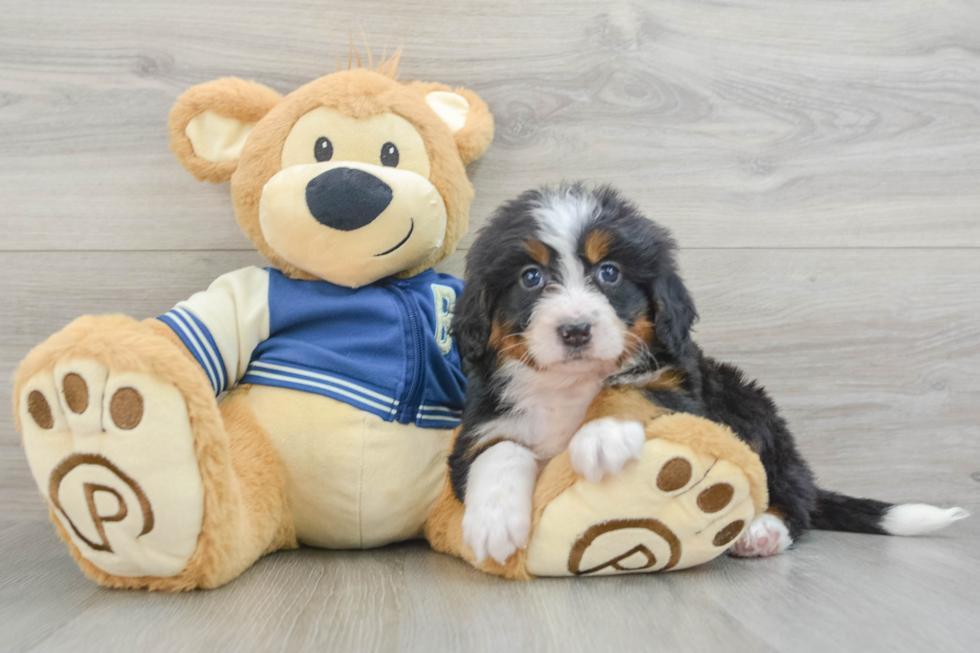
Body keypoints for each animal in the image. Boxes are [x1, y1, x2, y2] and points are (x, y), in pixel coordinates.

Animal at [448, 185, 968, 564]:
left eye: (610, 273)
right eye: (530, 278)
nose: (575, 330)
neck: (569, 383)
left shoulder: (682, 387)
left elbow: (630, 390)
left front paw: (602, 434)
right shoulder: (480, 423)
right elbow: (501, 450)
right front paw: (493, 520)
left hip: (750, 407)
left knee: (791, 493)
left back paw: (763, 530)